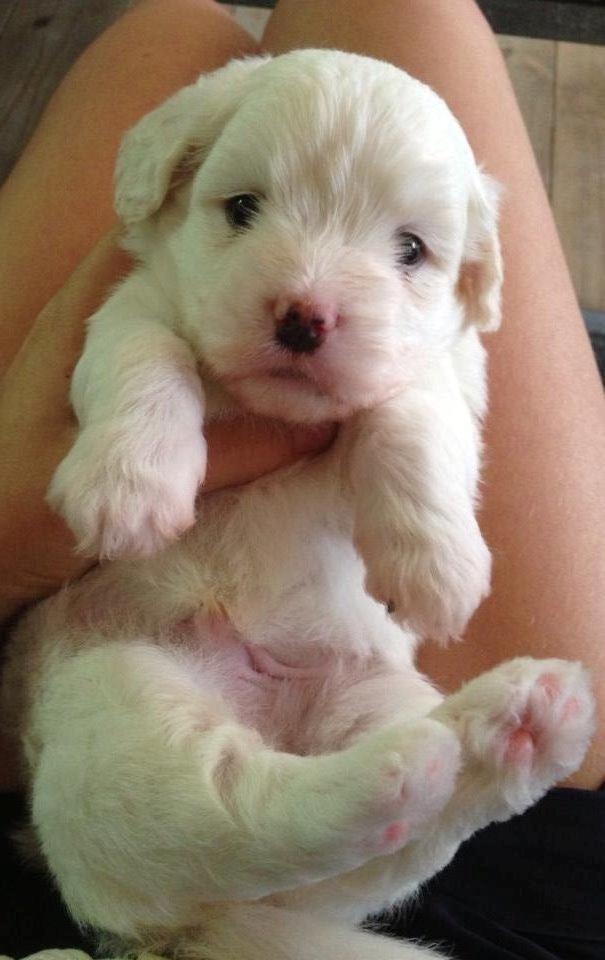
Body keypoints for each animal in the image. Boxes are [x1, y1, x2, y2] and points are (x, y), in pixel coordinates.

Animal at [1, 50, 596, 960]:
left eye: (410, 249)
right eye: (242, 208)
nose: (304, 317)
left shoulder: (450, 374)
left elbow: (411, 415)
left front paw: (435, 565)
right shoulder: (122, 306)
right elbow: (148, 356)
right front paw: (131, 484)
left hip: (367, 690)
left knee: (383, 852)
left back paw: (515, 727)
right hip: (110, 709)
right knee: (240, 811)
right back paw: (405, 772)